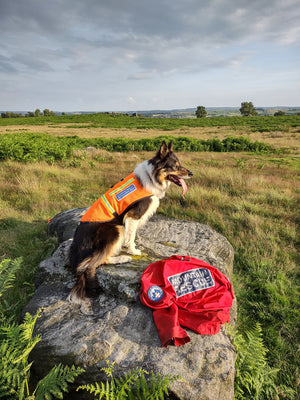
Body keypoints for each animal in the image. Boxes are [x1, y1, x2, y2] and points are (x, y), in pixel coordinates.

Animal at [68, 141, 193, 304]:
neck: (152, 176)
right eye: (175, 166)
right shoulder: (133, 215)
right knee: (93, 263)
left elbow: (131, 234)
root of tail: (77, 254)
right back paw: (123, 258)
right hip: (114, 229)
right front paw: (133, 250)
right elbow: (131, 235)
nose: (191, 174)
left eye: (180, 164)